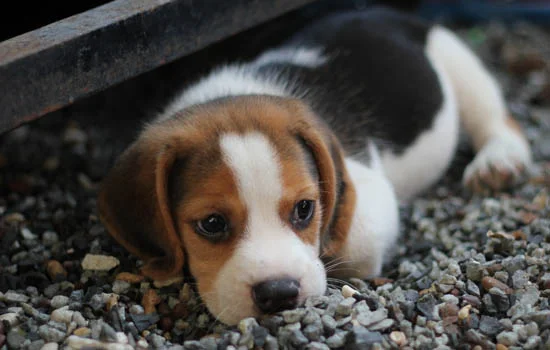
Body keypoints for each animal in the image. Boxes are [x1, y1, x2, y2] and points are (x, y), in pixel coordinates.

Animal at [98, 8, 536, 326]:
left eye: (305, 209)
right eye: (211, 224)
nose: (279, 293)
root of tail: (384, 12)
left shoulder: (369, 195)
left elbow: (350, 242)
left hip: (457, 61)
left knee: (495, 117)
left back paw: (498, 161)